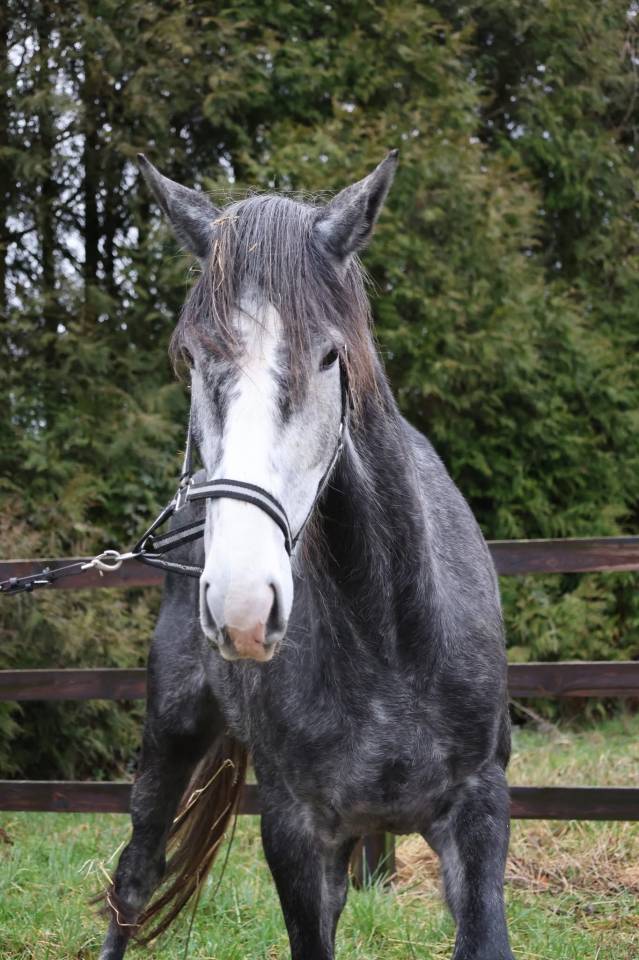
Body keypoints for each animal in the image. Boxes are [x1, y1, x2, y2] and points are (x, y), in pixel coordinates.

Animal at [99, 151, 514, 960]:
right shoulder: (295, 833)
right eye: (191, 356)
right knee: (133, 880)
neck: (392, 640)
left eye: (328, 356)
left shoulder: (480, 812)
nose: (241, 604)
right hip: (171, 731)